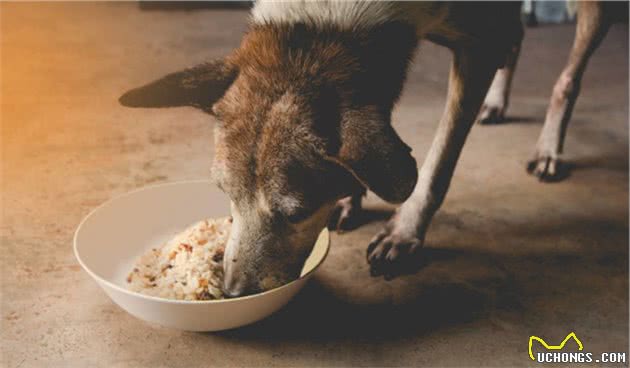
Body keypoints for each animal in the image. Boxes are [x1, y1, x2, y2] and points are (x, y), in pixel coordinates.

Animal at [121, 0, 620, 296]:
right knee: (516, 37)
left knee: (567, 77)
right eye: (225, 195)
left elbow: (437, 163)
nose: (233, 293)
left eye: (297, 212)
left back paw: (549, 147)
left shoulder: (475, 46)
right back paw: (498, 103)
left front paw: (404, 231)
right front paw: (350, 197)